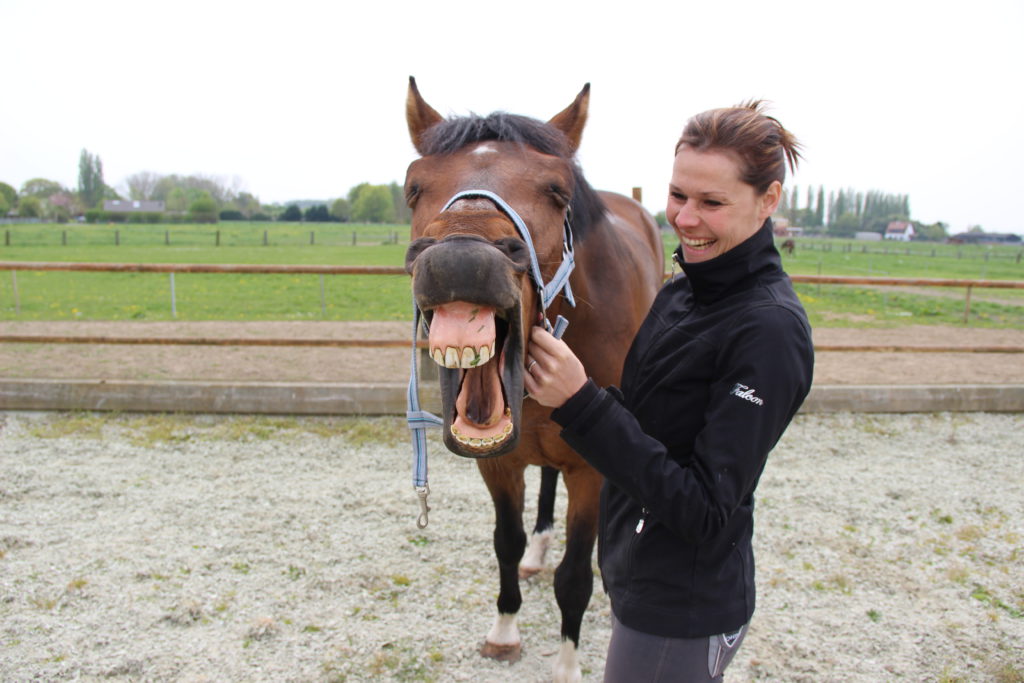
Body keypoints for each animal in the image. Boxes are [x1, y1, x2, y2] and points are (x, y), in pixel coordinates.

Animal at [403, 77, 663, 681]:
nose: (461, 260)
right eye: (412, 186)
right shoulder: (499, 463)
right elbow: (507, 541)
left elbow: (576, 573)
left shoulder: (591, 466)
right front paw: (504, 630)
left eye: (558, 191)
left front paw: (567, 662)